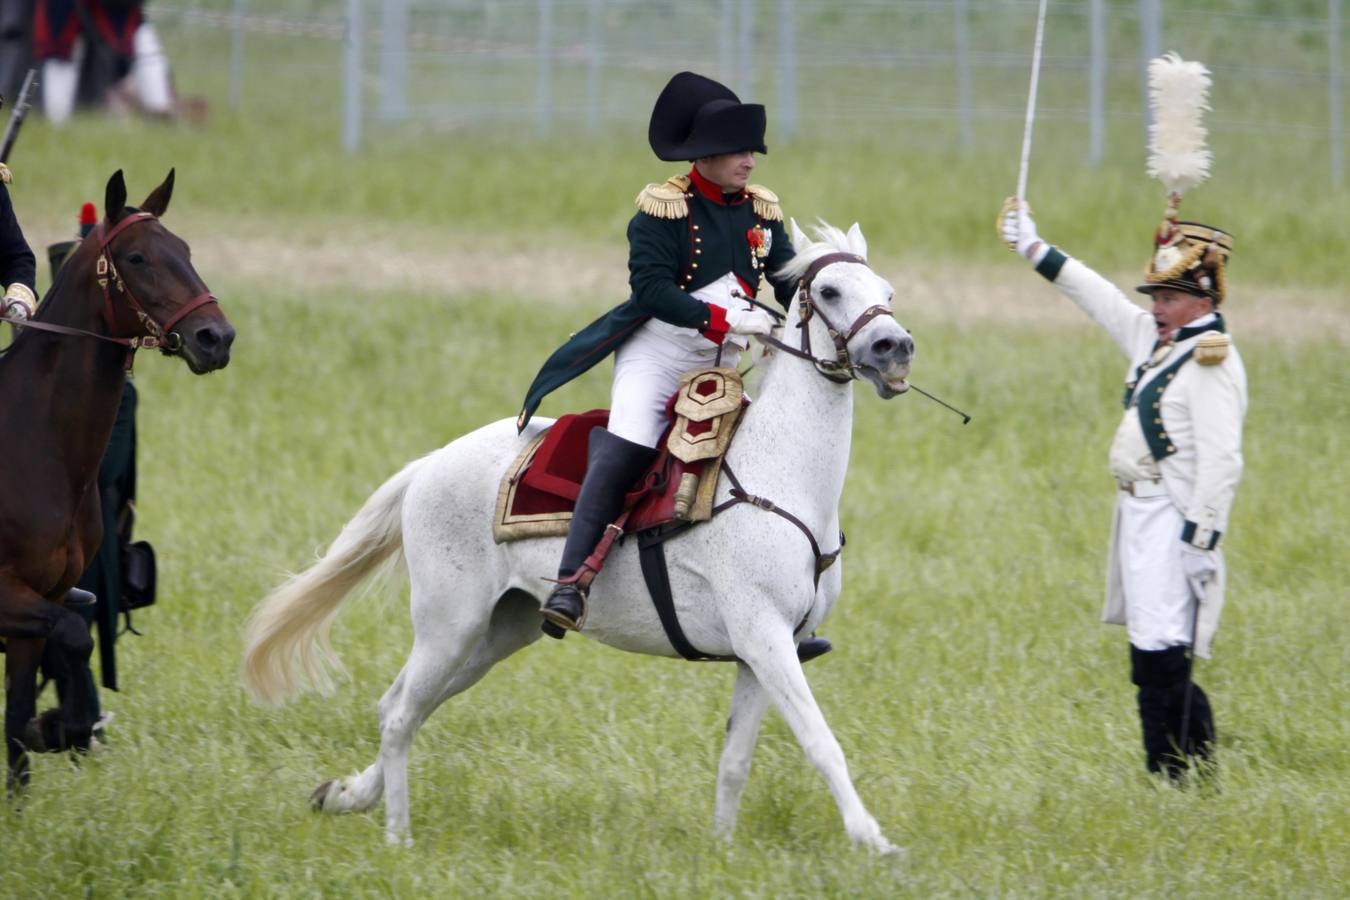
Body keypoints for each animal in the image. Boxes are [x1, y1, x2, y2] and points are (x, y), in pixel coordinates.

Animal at [0, 170, 234, 788]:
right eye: (136, 257)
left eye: (186, 251)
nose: (216, 338)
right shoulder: (11, 598)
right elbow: (76, 639)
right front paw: (64, 724)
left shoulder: (38, 608)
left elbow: (17, 724)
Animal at [243, 221, 918, 858]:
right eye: (829, 291)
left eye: (886, 292)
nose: (895, 349)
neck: (779, 476)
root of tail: (431, 463)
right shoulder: (765, 638)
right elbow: (821, 742)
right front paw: (874, 841)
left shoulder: (764, 653)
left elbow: (736, 760)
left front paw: (722, 850)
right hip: (449, 624)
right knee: (403, 714)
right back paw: (397, 837)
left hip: (498, 631)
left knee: (401, 705)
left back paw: (345, 796)